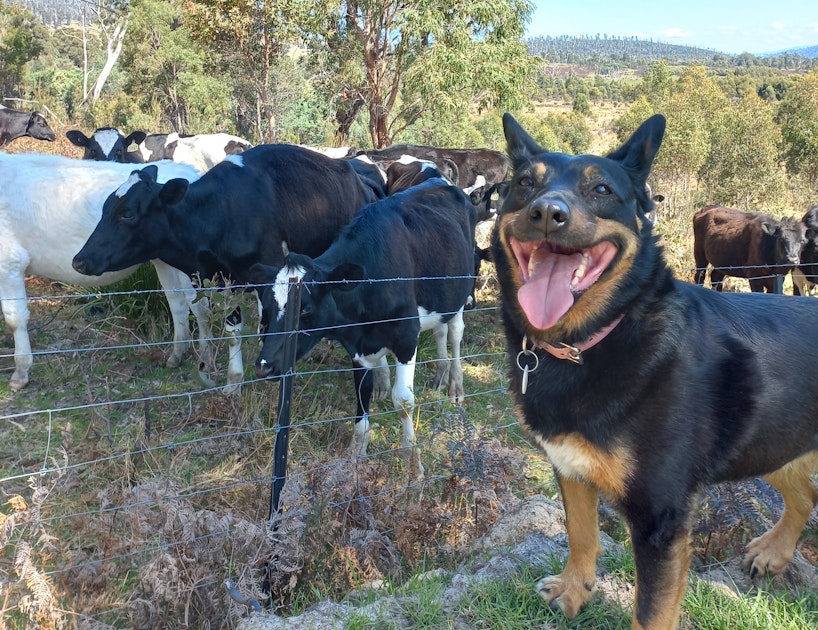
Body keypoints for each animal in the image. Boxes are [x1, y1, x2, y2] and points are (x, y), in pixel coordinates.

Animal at [0, 153, 214, 390]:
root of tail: (189, 171)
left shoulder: (9, 262)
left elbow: (14, 319)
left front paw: (20, 373)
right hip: (163, 260)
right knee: (177, 303)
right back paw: (176, 355)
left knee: (201, 308)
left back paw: (205, 360)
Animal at [71, 144, 384, 390]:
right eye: (105, 208)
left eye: (128, 214)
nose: (79, 260)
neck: (220, 212)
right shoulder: (216, 278)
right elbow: (226, 327)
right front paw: (229, 380)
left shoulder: (267, 274)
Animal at [252, 175, 474, 472]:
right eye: (267, 307)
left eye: (305, 309)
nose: (264, 366)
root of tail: (439, 179)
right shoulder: (357, 347)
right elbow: (361, 394)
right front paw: (355, 453)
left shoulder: (407, 337)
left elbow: (403, 401)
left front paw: (413, 462)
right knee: (439, 330)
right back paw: (437, 374)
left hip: (461, 291)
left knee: (454, 333)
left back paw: (455, 385)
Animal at [488, 115, 816, 630]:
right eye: (524, 184)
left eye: (601, 189)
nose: (545, 213)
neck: (593, 340)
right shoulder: (570, 468)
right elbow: (581, 534)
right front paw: (573, 591)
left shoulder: (659, 518)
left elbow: (650, 612)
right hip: (775, 441)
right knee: (805, 493)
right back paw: (774, 552)